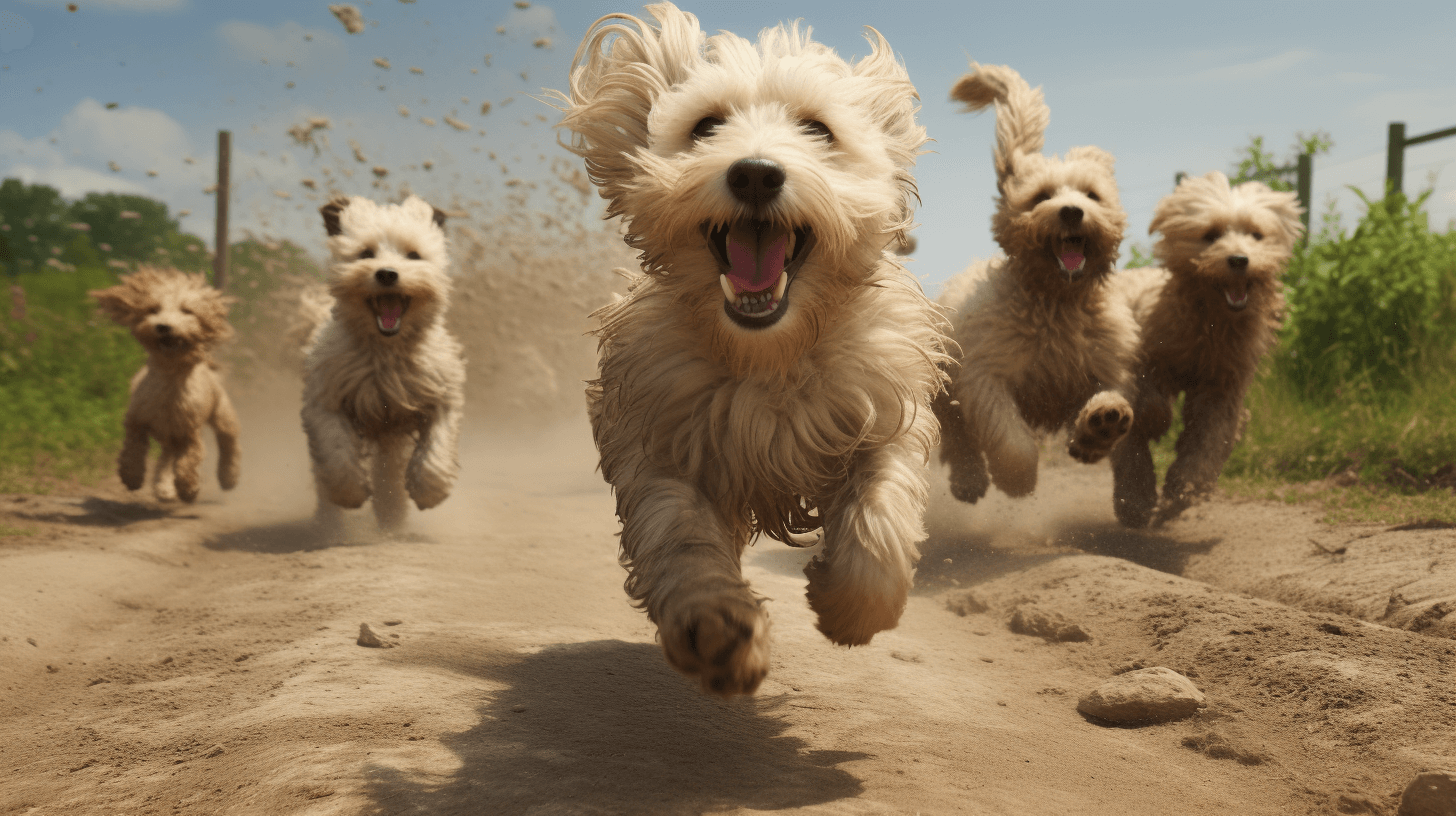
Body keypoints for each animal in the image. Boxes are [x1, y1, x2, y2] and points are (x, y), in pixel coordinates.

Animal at [89, 265, 238, 501]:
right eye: (153, 309)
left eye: (187, 311)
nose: (163, 326)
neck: (169, 379)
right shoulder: (137, 419)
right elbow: (132, 448)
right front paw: (131, 476)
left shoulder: (189, 431)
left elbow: (189, 460)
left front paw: (188, 488)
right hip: (169, 437)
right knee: (167, 458)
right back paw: (164, 487)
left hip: (221, 413)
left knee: (228, 441)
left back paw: (228, 476)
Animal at [550, 3, 949, 699]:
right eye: (706, 126)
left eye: (817, 129)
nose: (756, 172)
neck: (768, 357)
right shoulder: (660, 435)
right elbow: (680, 534)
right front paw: (716, 626)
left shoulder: (882, 406)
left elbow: (882, 504)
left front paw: (852, 607)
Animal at [931, 63, 1135, 507]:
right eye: (1041, 196)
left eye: (1092, 195)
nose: (1072, 211)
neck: (1056, 300)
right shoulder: (986, 372)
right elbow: (1011, 440)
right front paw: (1018, 481)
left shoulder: (1102, 361)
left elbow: (1110, 395)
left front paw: (1100, 426)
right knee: (956, 436)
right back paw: (969, 481)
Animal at [1112, 174, 1310, 524]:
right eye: (1211, 235)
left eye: (1256, 234)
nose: (1239, 260)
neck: (1210, 326)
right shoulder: (1148, 357)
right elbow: (1148, 400)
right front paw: (1157, 419)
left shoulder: (1222, 387)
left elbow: (1209, 440)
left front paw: (1185, 488)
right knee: (1129, 452)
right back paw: (1134, 503)